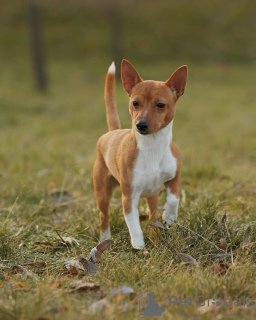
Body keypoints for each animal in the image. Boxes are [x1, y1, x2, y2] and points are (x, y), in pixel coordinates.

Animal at [93, 60, 187, 250]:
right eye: (135, 103)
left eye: (160, 105)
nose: (141, 125)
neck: (152, 147)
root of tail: (112, 132)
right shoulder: (129, 197)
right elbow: (134, 225)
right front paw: (139, 246)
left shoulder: (175, 176)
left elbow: (174, 198)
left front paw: (169, 216)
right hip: (102, 193)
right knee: (103, 216)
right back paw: (105, 239)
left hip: (152, 195)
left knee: (153, 214)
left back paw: (157, 230)